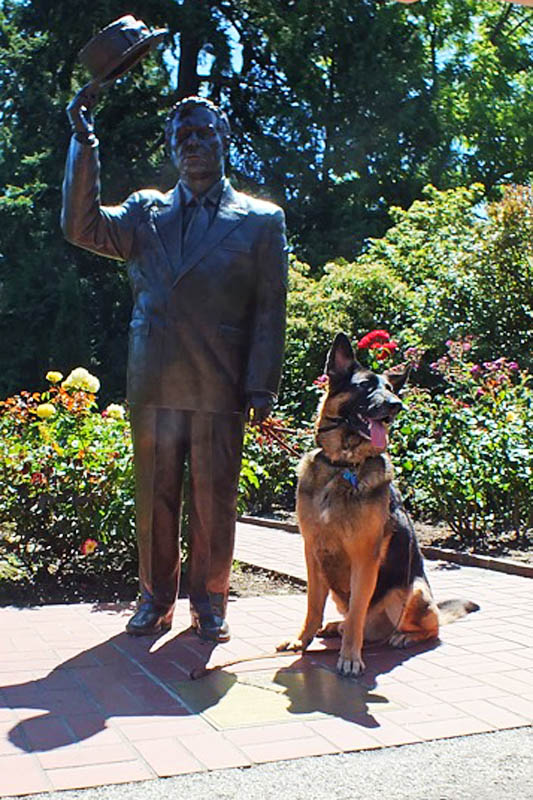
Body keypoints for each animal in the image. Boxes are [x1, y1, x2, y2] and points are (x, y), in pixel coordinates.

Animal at [278, 332, 478, 676]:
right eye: (365, 386)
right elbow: (313, 605)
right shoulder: (312, 550)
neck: (343, 465)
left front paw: (350, 657)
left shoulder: (364, 556)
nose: (397, 405)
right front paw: (302, 640)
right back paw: (336, 627)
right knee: (352, 620)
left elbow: (358, 610)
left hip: (414, 589)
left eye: (390, 389)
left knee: (429, 627)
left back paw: (401, 636)